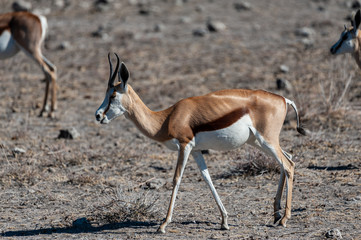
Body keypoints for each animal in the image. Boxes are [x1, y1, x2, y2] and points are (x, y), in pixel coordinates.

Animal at [95, 53, 304, 233]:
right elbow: (207, 178)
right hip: (259, 142)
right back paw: (276, 214)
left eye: (113, 95)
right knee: (287, 159)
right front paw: (224, 221)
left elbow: (176, 178)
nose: (98, 115)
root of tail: (284, 99)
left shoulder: (184, 146)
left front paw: (163, 224)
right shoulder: (196, 150)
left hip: (267, 141)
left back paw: (284, 219)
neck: (166, 118)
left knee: (288, 165)